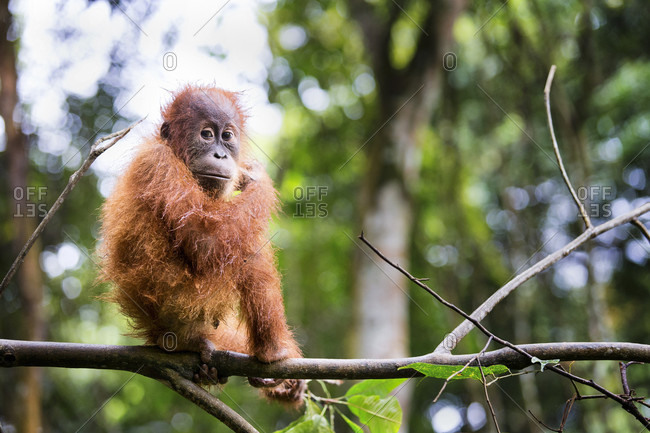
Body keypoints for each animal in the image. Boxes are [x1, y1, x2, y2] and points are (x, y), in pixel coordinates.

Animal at [98, 85, 305, 405]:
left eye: (227, 136)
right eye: (206, 134)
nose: (220, 153)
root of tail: (158, 333)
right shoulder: (158, 163)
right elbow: (205, 240)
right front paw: (257, 177)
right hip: (185, 305)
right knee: (247, 250)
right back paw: (273, 352)